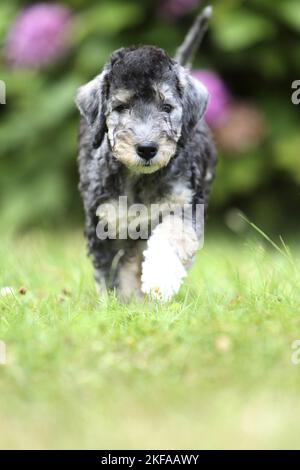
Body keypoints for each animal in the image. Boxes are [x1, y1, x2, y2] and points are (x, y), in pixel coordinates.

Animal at [75, 6, 216, 302]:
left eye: (166, 107)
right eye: (121, 107)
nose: (147, 148)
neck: (137, 178)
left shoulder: (184, 206)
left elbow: (170, 239)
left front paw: (159, 281)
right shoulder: (104, 223)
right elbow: (111, 274)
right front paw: (118, 304)